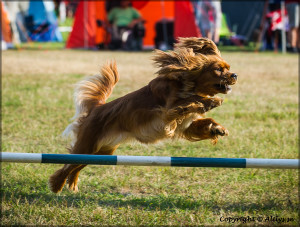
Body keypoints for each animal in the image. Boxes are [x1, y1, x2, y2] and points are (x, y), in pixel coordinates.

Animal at [48, 37, 237, 193]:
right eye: (218, 70)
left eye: (229, 68)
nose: (235, 75)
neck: (190, 84)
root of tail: (97, 108)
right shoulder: (168, 111)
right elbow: (191, 101)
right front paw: (211, 102)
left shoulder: (186, 124)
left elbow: (203, 120)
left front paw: (217, 128)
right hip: (88, 145)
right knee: (68, 164)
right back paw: (57, 184)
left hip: (103, 152)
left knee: (77, 165)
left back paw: (72, 182)